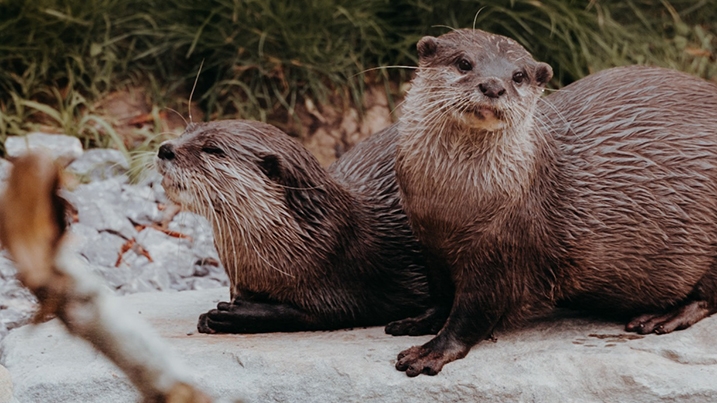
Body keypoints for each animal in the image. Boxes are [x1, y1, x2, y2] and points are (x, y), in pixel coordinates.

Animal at [155, 120, 426, 334]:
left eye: (213, 149)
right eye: (187, 130)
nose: (165, 149)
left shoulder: (353, 281)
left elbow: (330, 313)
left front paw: (232, 315)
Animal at [388, 29, 716, 378]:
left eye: (518, 76)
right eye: (464, 63)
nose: (493, 86)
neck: (451, 208)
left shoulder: (503, 251)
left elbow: (472, 314)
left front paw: (430, 352)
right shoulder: (429, 244)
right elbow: (440, 295)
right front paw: (417, 320)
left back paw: (665, 316)